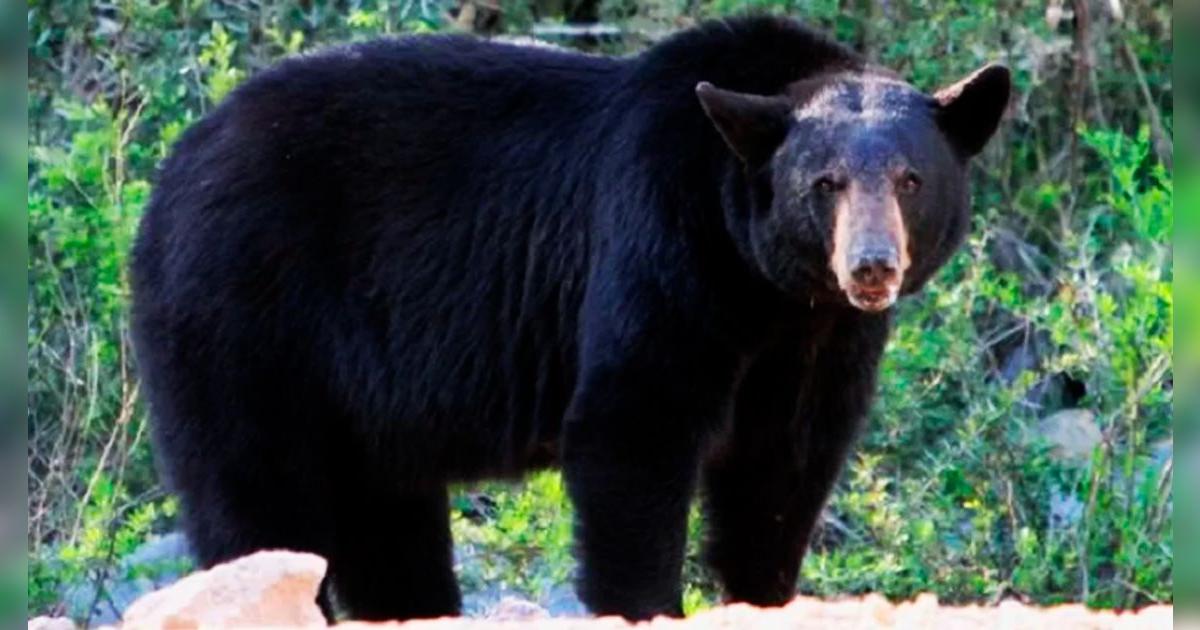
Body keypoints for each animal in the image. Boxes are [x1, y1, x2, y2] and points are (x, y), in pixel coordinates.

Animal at [129, 15, 1009, 622]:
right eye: (824, 183)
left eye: (910, 179)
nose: (871, 266)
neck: (766, 287)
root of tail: (172, 168)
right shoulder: (662, 244)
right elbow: (633, 423)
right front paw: (649, 601)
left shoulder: (818, 344)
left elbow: (783, 468)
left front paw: (763, 592)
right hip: (244, 311)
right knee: (255, 496)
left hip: (364, 398)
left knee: (389, 525)